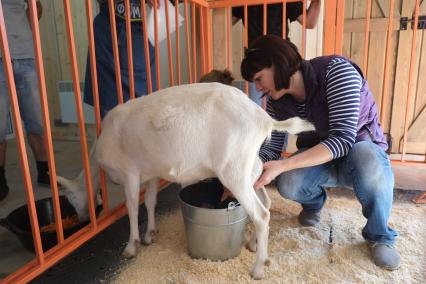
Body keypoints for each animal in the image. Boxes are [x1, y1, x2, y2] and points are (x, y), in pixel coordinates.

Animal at [56, 82, 314, 280]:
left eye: (70, 198)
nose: (82, 219)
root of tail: (264, 119)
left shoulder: (130, 172)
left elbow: (131, 208)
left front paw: (131, 246)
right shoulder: (151, 173)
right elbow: (150, 201)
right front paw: (150, 234)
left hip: (234, 170)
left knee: (260, 214)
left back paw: (258, 269)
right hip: (250, 165)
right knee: (265, 200)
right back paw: (254, 246)